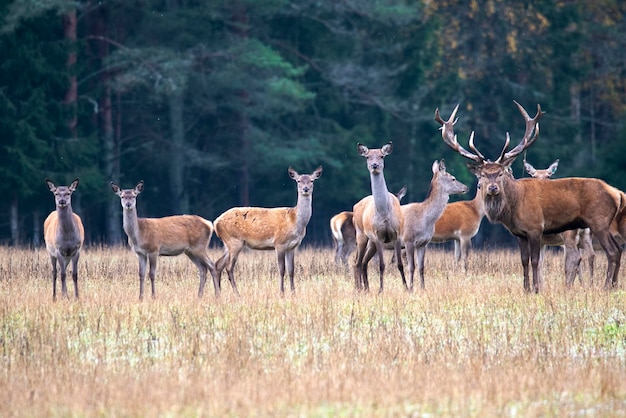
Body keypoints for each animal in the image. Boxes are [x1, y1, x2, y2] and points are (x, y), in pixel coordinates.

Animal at [213, 166, 322, 294]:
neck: (295, 221)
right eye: (298, 181)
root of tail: (216, 222)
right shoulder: (279, 243)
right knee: (229, 267)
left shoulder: (292, 246)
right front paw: (281, 292)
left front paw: (293, 293)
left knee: (218, 264)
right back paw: (236, 293)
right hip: (234, 240)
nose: (305, 189)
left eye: (312, 180)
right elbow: (281, 269)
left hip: (227, 243)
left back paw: (218, 293)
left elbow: (291, 270)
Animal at [352, 142, 404, 292]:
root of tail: (355, 206)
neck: (384, 213)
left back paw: (366, 289)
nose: (374, 165)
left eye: (382, 156)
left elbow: (400, 264)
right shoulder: (378, 235)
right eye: (367, 156)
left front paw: (407, 288)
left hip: (371, 242)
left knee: (363, 262)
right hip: (362, 235)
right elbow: (381, 265)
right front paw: (381, 290)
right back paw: (359, 289)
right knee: (357, 262)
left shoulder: (397, 233)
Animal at [402, 158, 466, 290]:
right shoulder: (408, 240)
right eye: (453, 178)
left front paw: (423, 288)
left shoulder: (423, 243)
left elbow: (421, 267)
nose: (466, 187)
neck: (425, 220)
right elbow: (411, 267)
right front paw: (411, 288)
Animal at [434, 99, 620, 292]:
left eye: (501, 173)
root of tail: (617, 194)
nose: (492, 188)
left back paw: (607, 286)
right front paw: (526, 289)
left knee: (610, 252)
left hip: (597, 221)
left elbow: (536, 261)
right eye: (483, 174)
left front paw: (537, 289)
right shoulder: (519, 233)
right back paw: (613, 285)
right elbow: (524, 261)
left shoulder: (535, 228)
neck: (513, 208)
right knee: (618, 250)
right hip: (600, 226)